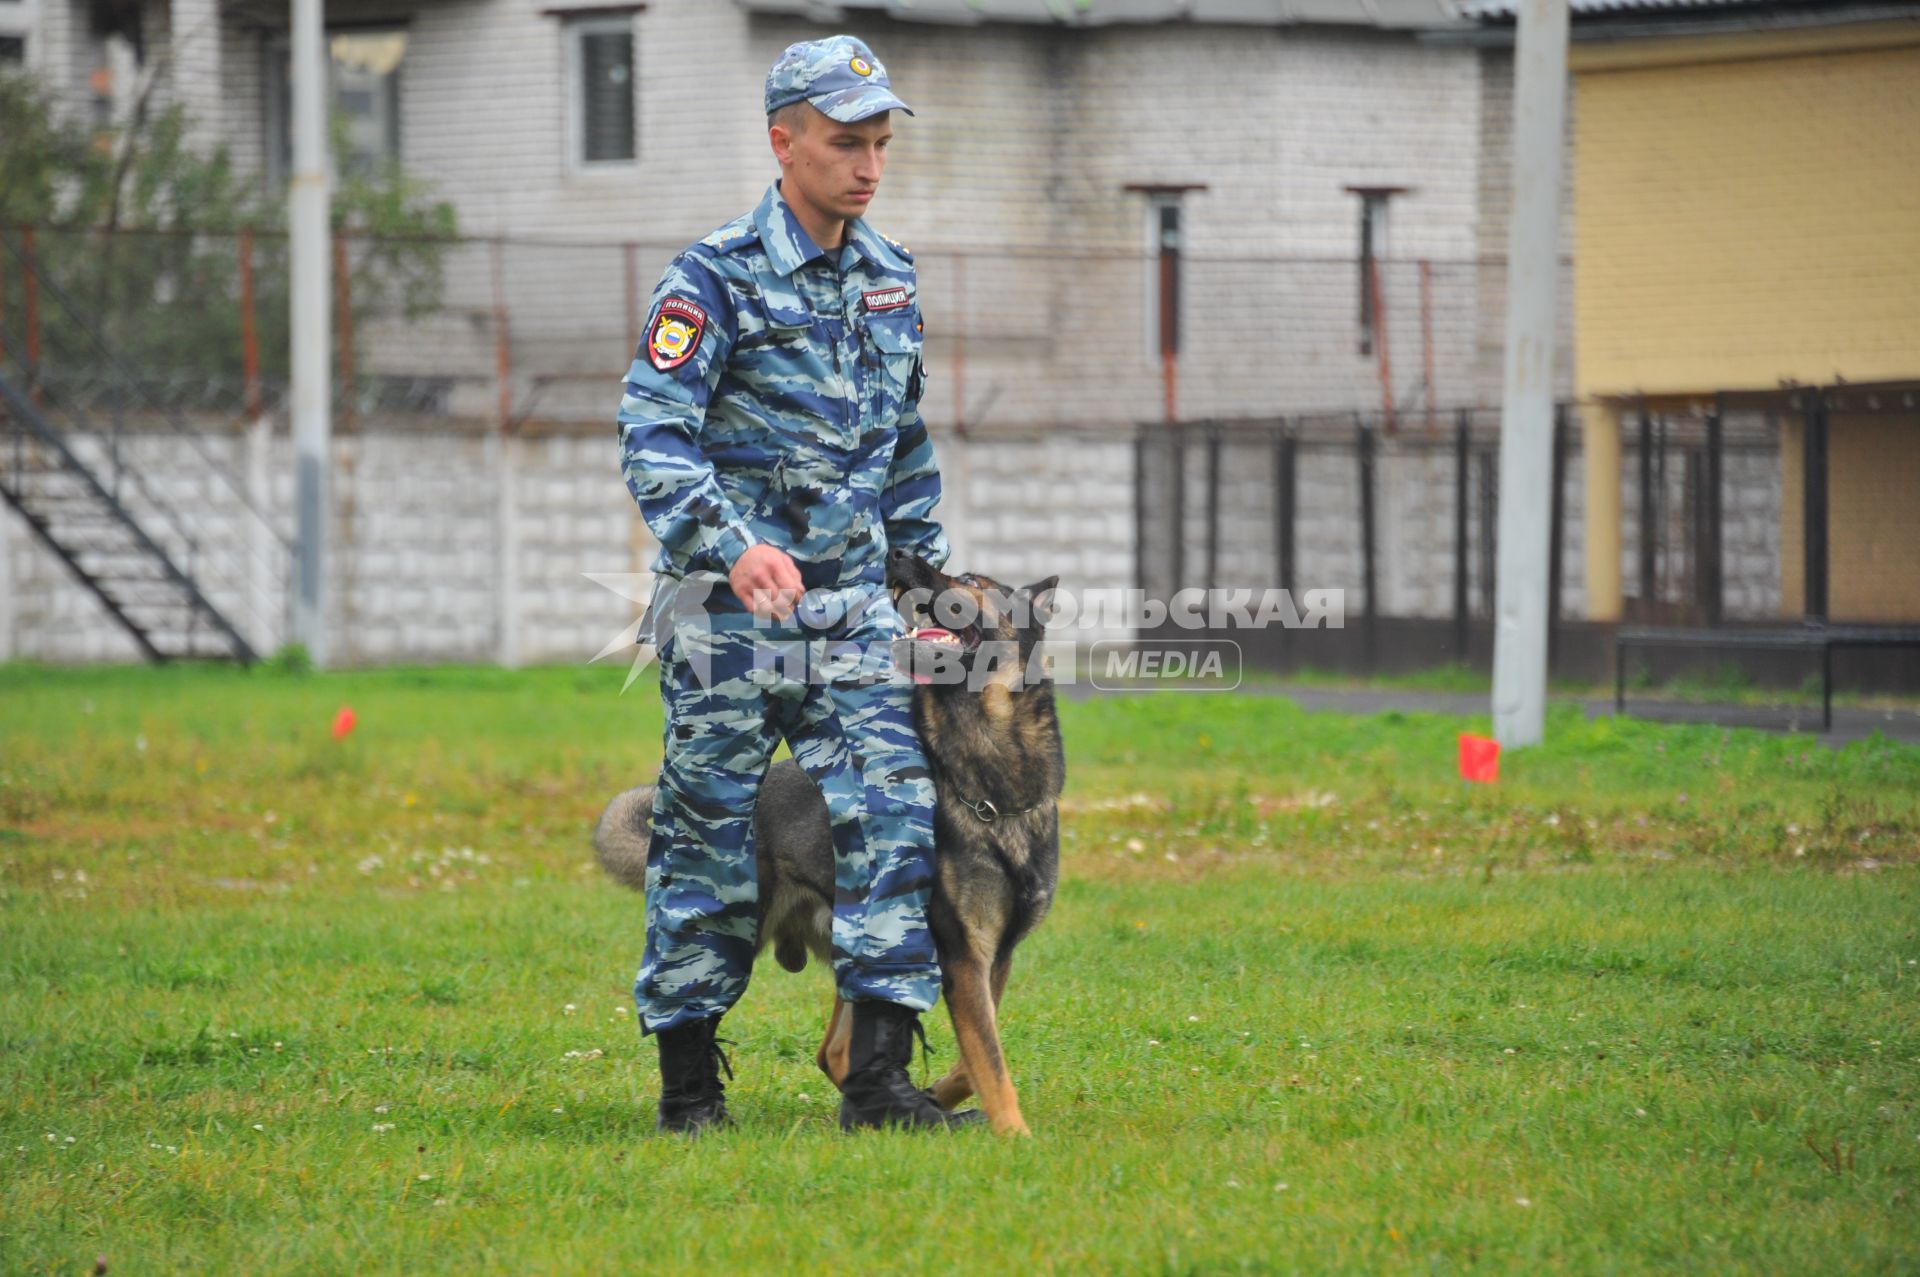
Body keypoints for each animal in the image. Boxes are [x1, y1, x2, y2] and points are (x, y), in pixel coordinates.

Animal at [587, 549, 1067, 1136]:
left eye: (973, 582)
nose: (898, 555)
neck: (988, 786)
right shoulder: (965, 956)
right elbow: (991, 1064)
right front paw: (1016, 1136)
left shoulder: (993, 959)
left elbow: (975, 1056)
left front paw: (945, 1095)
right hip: (732, 922)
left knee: (835, 1050)